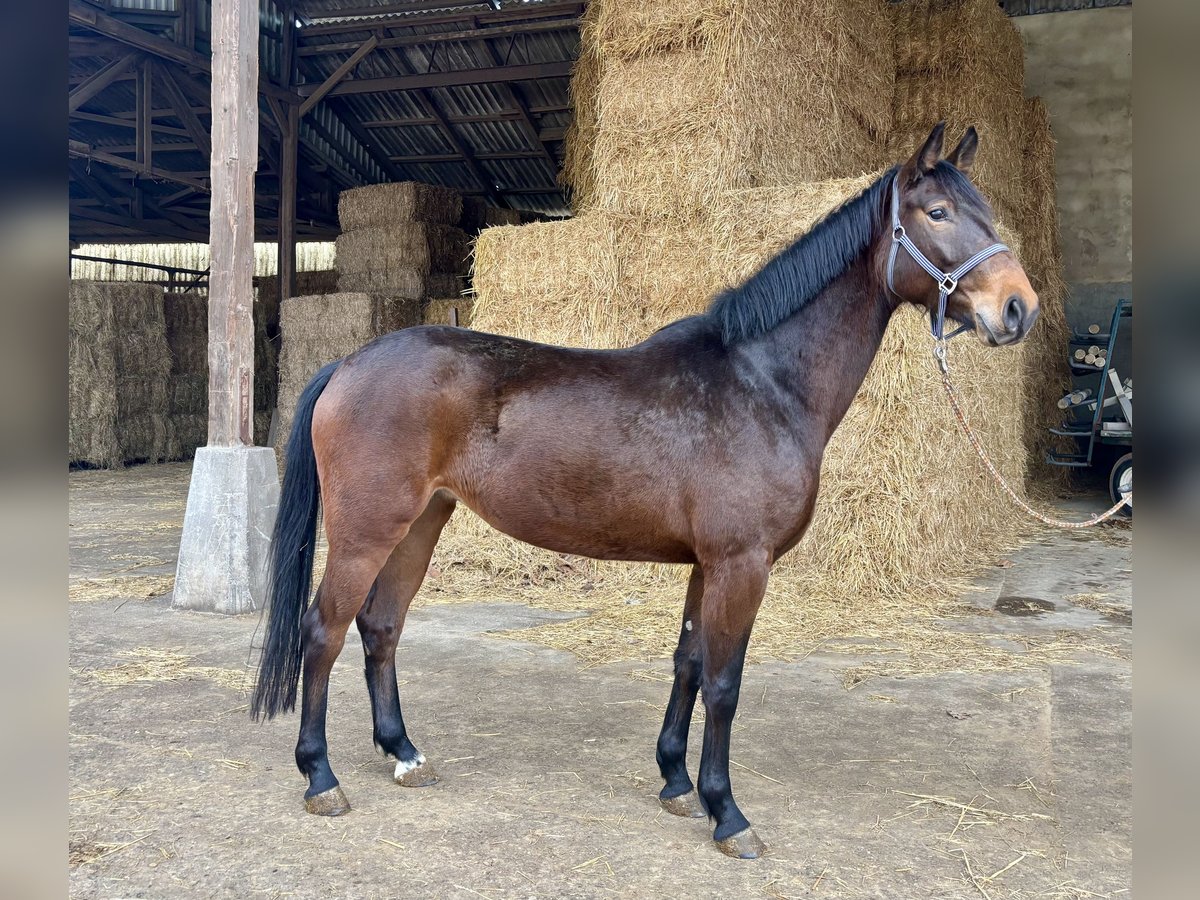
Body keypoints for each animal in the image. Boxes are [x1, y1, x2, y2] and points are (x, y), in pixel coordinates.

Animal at [253, 125, 1041, 859]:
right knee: (323, 630)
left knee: (380, 626)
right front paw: (729, 814)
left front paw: (677, 783)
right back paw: (320, 777)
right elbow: (724, 683)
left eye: (987, 211)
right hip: (366, 530)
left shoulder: (707, 565)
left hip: (421, 522)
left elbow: (688, 663)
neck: (763, 382)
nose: (1018, 309)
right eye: (937, 212)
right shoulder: (742, 564)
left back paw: (405, 754)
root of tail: (349, 362)